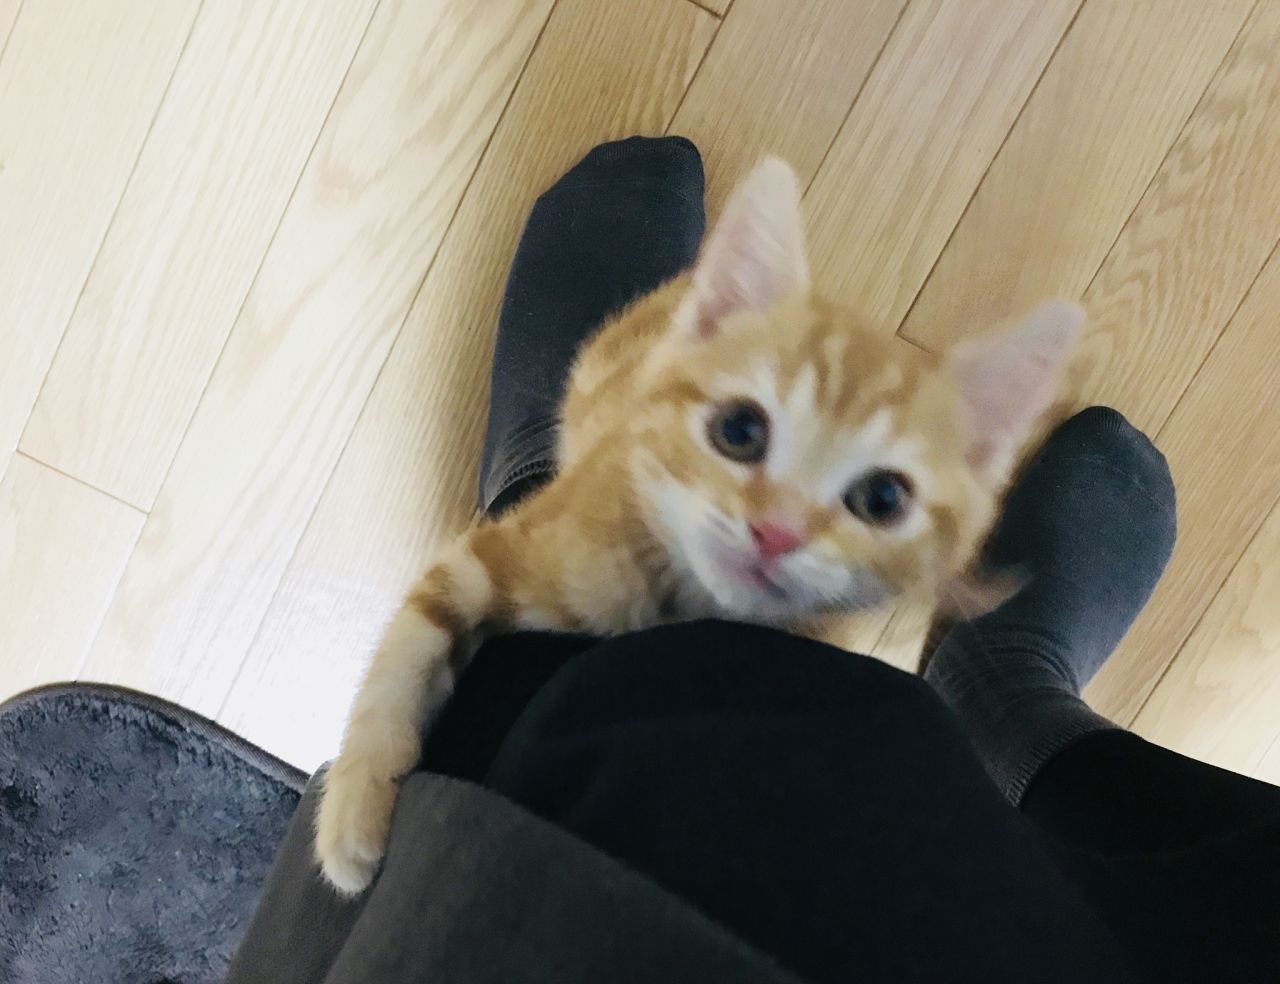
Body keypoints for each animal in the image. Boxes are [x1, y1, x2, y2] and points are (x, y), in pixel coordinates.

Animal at [314, 157, 1083, 894]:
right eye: (739, 430)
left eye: (883, 499)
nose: (776, 532)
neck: (677, 600)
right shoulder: (502, 550)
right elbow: (412, 641)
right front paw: (354, 810)